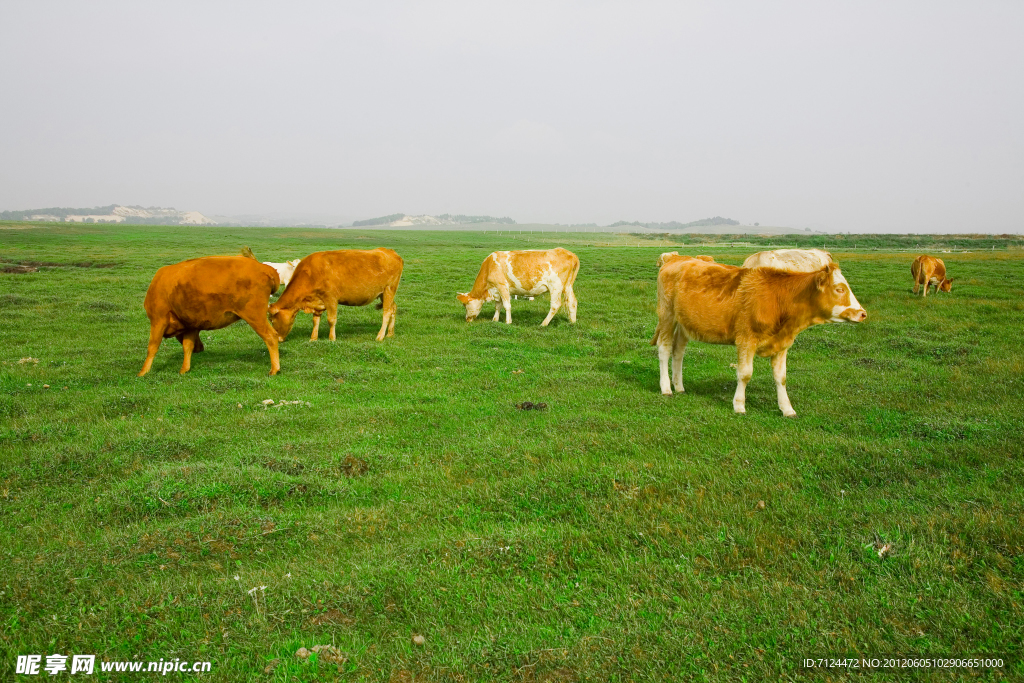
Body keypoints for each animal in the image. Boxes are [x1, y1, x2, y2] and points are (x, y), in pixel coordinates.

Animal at [136, 255, 282, 376]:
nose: (200, 348)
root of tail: (264, 268)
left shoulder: (158, 320)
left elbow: (152, 347)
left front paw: (143, 372)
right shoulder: (191, 326)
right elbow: (187, 346)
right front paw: (184, 369)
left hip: (255, 317)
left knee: (271, 336)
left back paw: (274, 369)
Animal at [268, 248, 403, 342]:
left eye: (272, 320)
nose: (277, 339)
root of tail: (389, 251)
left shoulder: (331, 298)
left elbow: (331, 320)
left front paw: (332, 338)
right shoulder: (318, 301)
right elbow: (315, 321)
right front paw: (313, 338)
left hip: (389, 289)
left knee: (387, 312)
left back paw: (380, 336)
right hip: (384, 294)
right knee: (393, 308)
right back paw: (390, 333)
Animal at [651, 255, 860, 417]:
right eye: (839, 289)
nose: (862, 313)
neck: (778, 299)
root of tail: (676, 257)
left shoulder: (782, 345)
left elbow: (781, 377)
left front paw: (787, 409)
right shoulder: (746, 340)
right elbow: (745, 374)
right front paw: (739, 405)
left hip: (684, 323)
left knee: (678, 351)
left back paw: (679, 386)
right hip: (667, 315)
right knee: (664, 349)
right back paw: (666, 388)